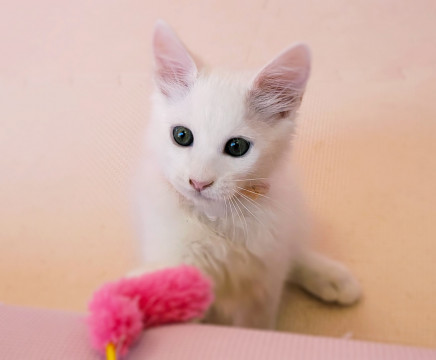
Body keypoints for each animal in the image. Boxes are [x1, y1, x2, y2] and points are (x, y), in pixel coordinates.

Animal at [132, 20, 362, 330]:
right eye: (181, 136)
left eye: (236, 147)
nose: (199, 182)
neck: (220, 219)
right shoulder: (175, 255)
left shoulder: (264, 281)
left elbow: (258, 324)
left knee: (293, 250)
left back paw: (331, 277)